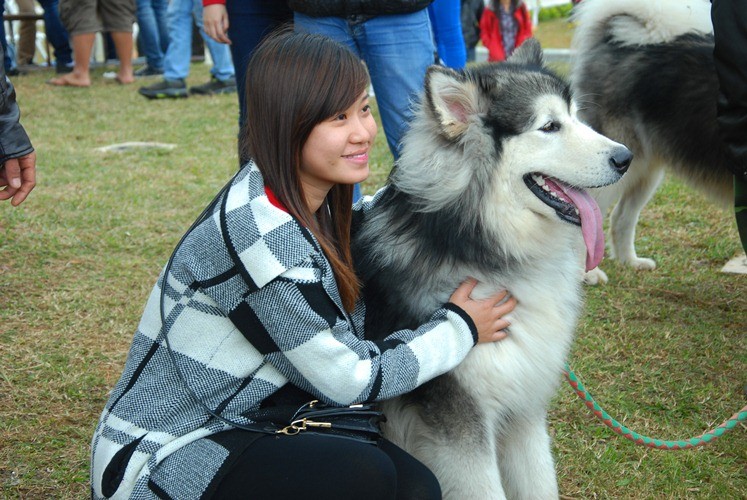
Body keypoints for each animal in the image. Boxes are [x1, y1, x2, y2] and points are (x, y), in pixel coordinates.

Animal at [356, 40, 632, 500]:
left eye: (576, 116)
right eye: (549, 126)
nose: (626, 157)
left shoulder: (524, 407)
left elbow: (540, 483)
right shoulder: (460, 426)